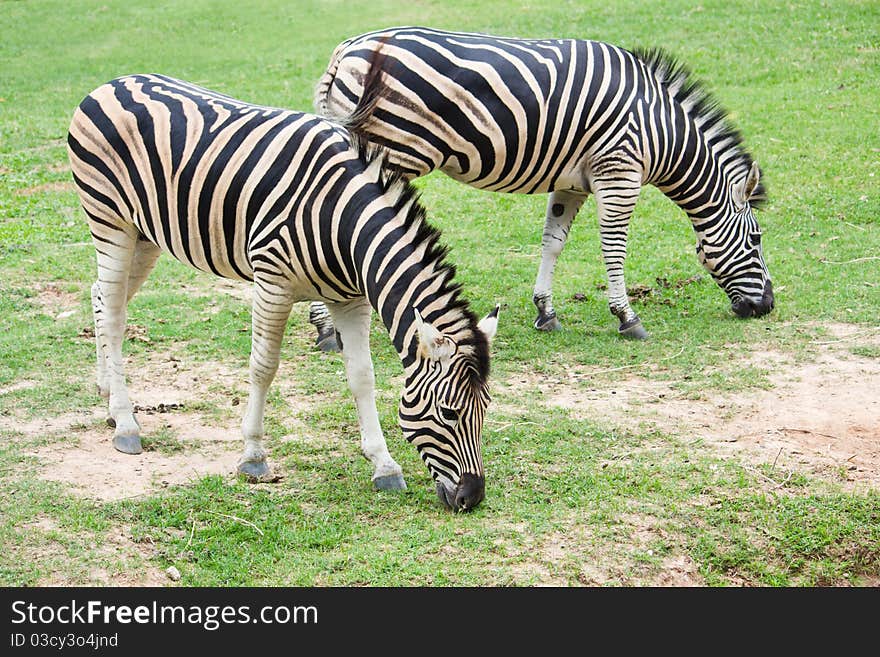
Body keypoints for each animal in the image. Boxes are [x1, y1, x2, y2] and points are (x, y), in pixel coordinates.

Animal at [65, 73, 498, 512]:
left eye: (485, 409)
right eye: (448, 412)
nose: (472, 497)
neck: (345, 224)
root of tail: (114, 82)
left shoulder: (351, 299)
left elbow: (362, 376)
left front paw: (383, 464)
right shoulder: (272, 281)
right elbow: (264, 367)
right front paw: (253, 455)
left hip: (146, 234)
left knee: (100, 296)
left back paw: (106, 391)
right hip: (110, 221)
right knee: (114, 315)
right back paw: (125, 422)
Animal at [306, 25, 772, 346]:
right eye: (756, 239)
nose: (767, 307)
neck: (660, 130)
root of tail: (345, 51)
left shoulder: (574, 183)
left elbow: (553, 242)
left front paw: (546, 311)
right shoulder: (618, 172)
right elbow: (614, 248)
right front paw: (628, 318)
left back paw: (327, 325)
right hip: (390, 149)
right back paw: (330, 329)